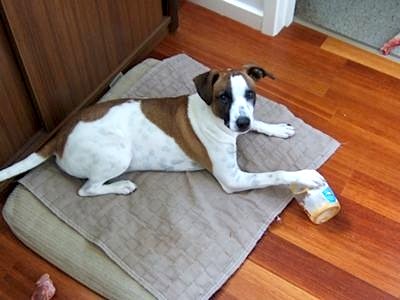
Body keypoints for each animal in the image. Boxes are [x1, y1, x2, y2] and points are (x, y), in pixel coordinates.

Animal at [0, 65, 324, 197]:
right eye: (223, 97)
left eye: (250, 94)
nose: (241, 124)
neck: (216, 118)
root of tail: (59, 135)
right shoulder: (233, 179)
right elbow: (274, 174)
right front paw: (305, 177)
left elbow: (257, 121)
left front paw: (275, 128)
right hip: (118, 154)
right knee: (86, 189)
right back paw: (120, 187)